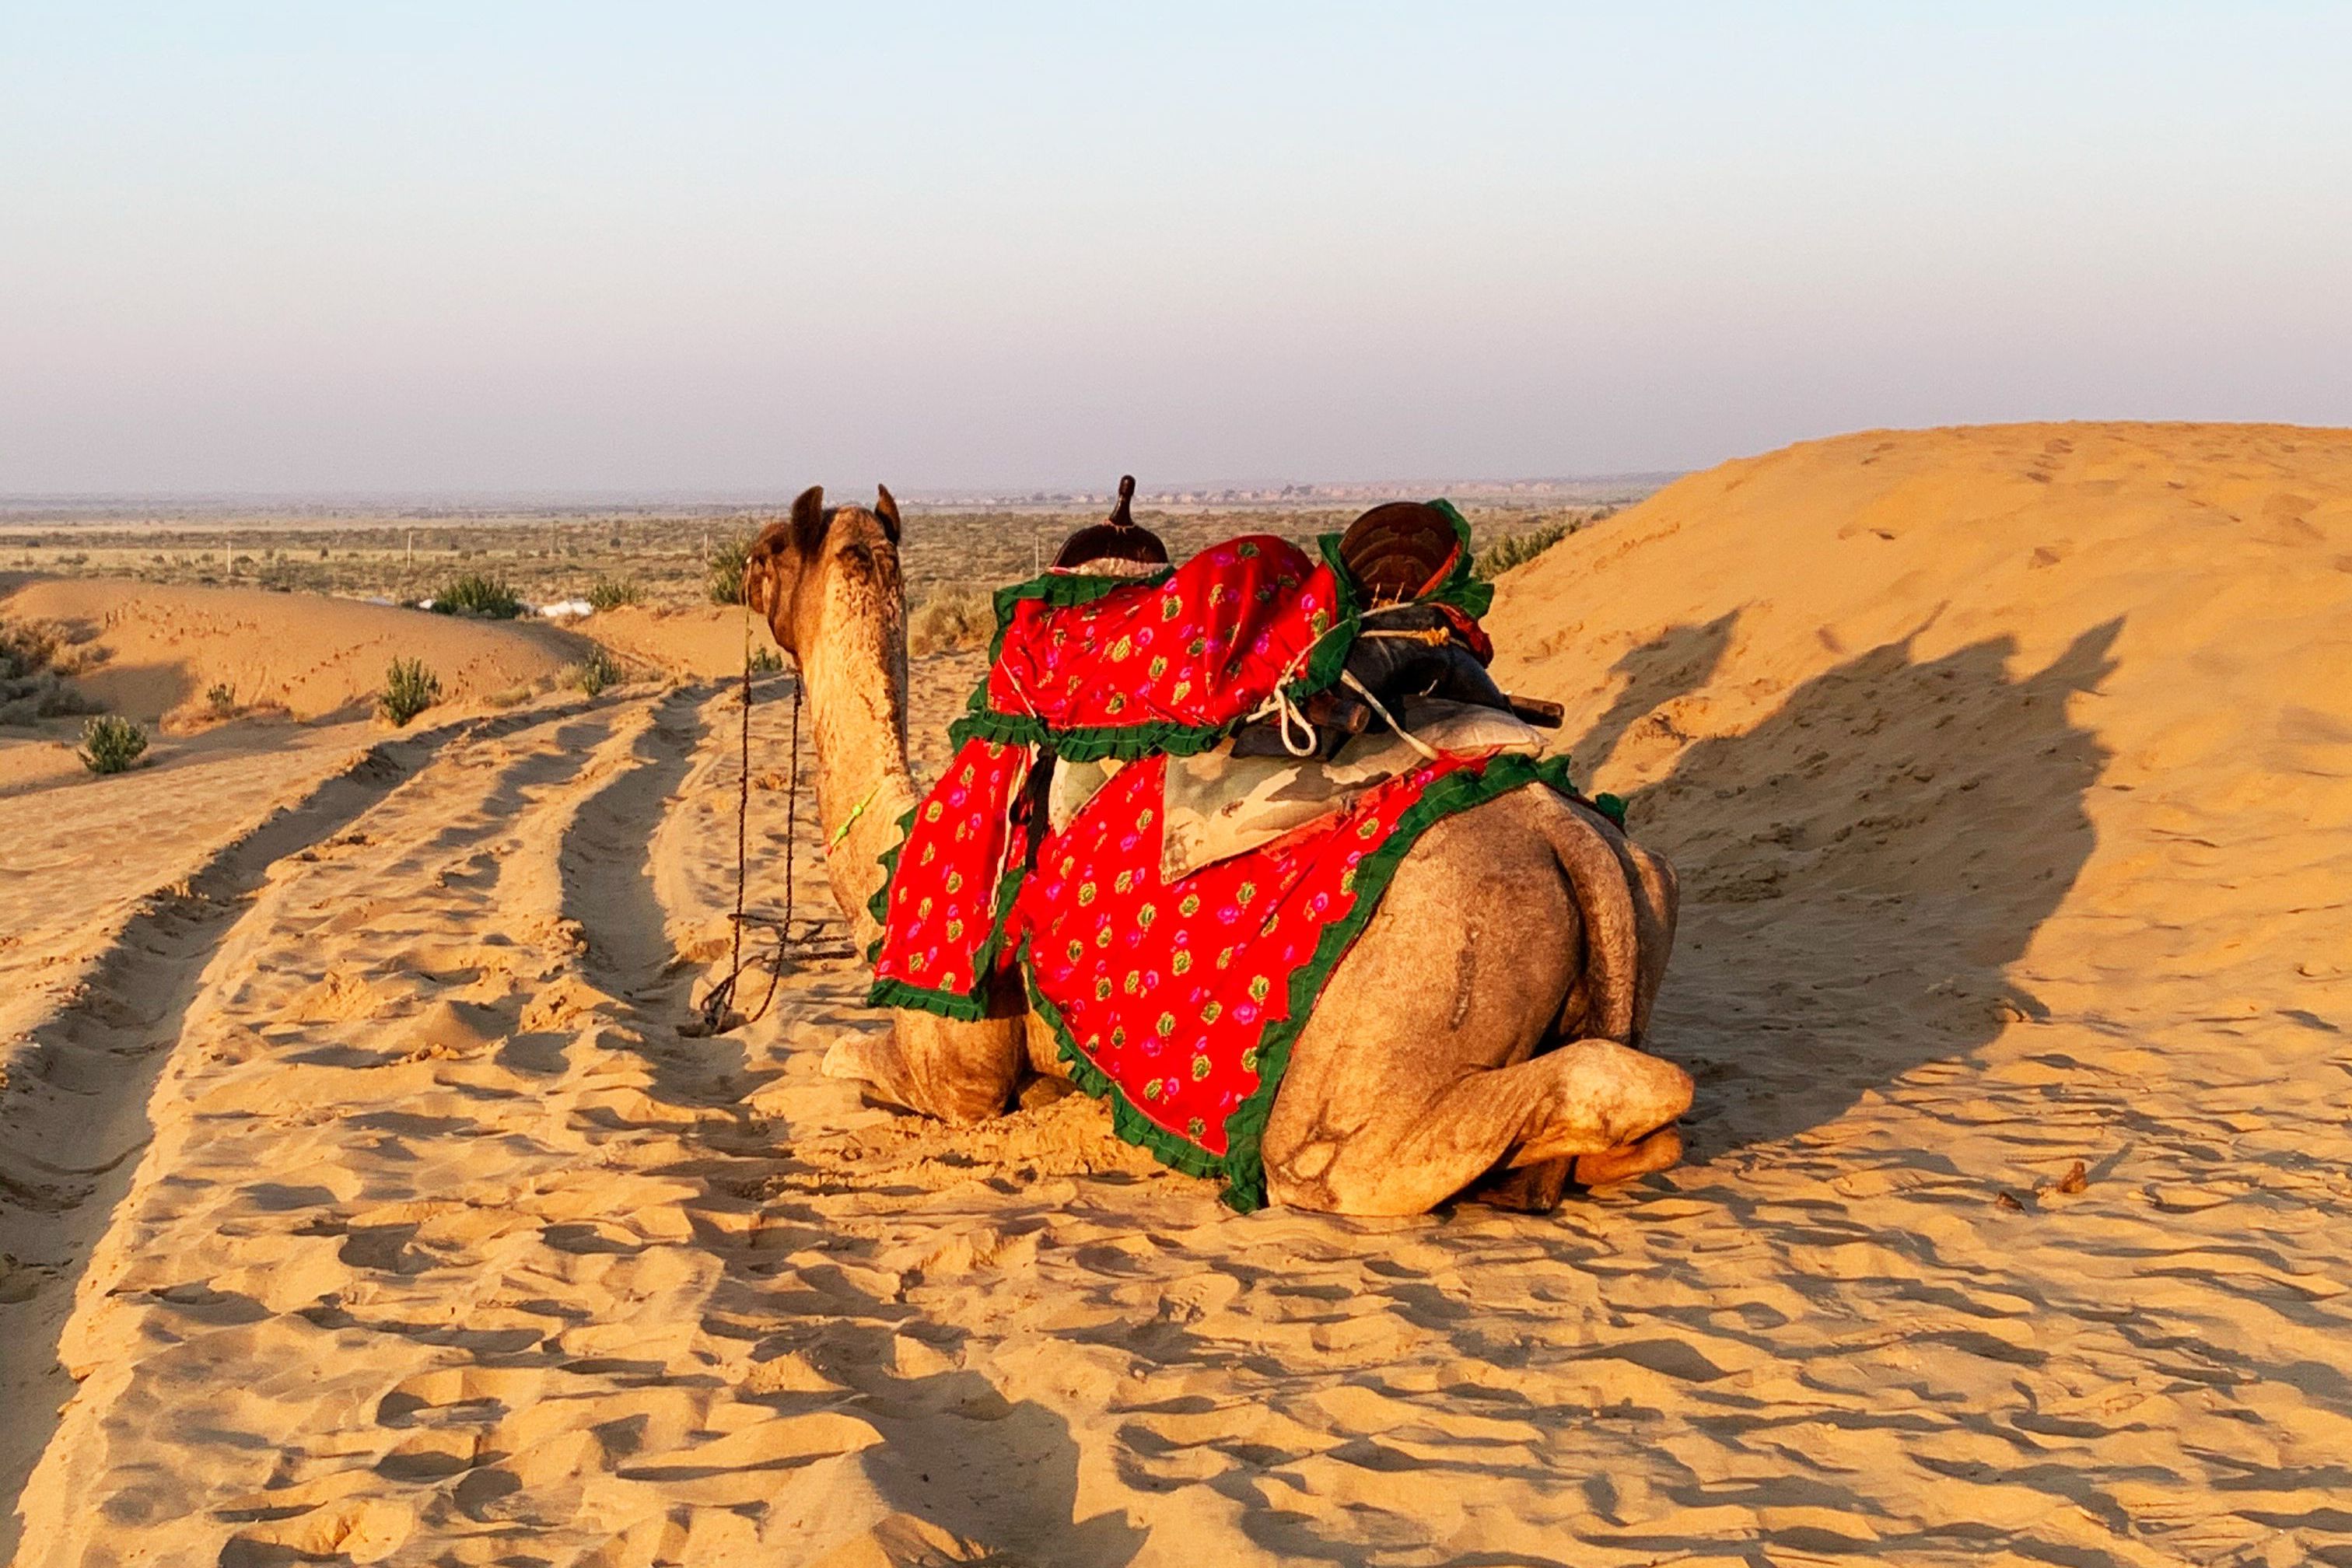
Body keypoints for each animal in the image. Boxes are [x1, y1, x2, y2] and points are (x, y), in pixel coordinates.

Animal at [743, 485, 1693, 1216]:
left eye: (771, 547)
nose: (744, 569)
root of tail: (1567, 837)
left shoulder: (955, 1049)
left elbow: (846, 1061)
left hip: (1373, 1069)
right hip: (1643, 894)